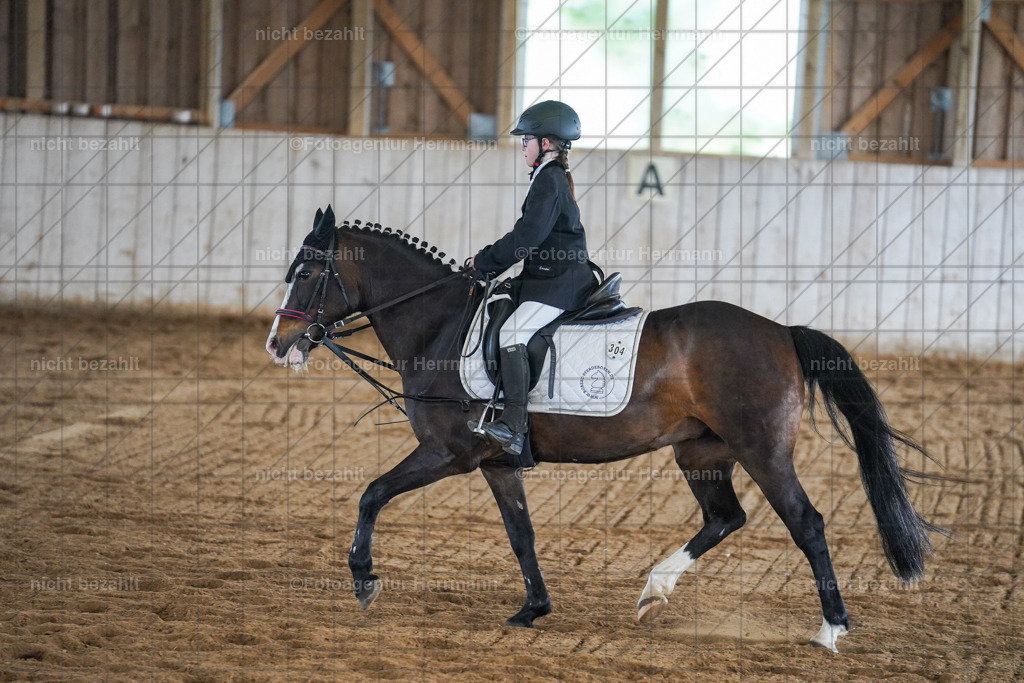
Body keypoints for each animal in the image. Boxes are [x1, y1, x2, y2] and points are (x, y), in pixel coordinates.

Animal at [264, 207, 941, 653]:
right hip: (701, 451)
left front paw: (363, 580)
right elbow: (521, 535)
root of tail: (781, 331)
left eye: (307, 273)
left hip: (762, 451)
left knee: (806, 524)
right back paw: (654, 590)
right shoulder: (498, 463)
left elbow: (371, 493)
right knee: (725, 517)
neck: (441, 326)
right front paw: (533, 609)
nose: (278, 344)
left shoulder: (447, 452)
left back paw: (830, 629)